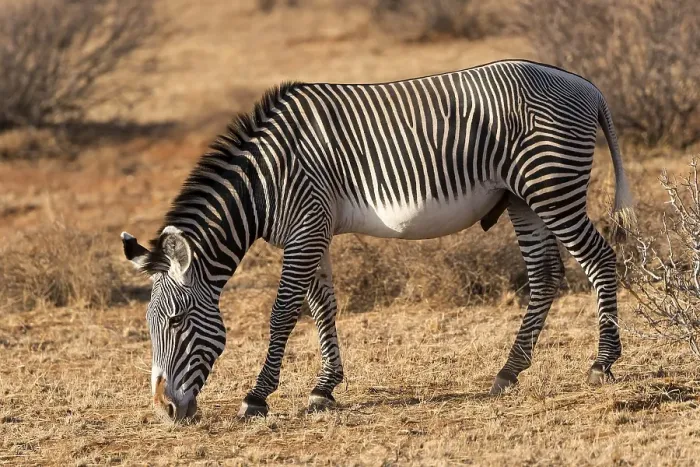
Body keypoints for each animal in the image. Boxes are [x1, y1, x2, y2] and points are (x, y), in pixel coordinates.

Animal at [121, 59, 635, 420]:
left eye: (177, 322)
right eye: (147, 325)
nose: (165, 411)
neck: (263, 184)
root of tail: (585, 84)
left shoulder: (305, 228)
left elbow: (283, 312)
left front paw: (257, 397)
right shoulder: (314, 230)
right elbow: (323, 307)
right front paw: (324, 387)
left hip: (551, 187)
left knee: (600, 259)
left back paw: (602, 363)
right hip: (522, 198)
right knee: (545, 276)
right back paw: (509, 371)